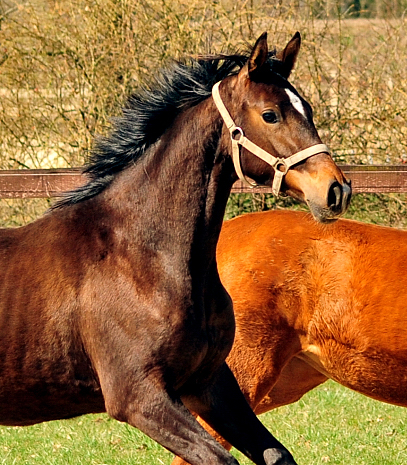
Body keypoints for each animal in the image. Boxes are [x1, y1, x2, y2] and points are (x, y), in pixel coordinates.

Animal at [0, 33, 350, 464]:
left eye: (309, 110)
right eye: (270, 115)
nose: (335, 190)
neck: (144, 259)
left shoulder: (210, 383)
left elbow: (276, 455)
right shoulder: (139, 397)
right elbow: (220, 458)